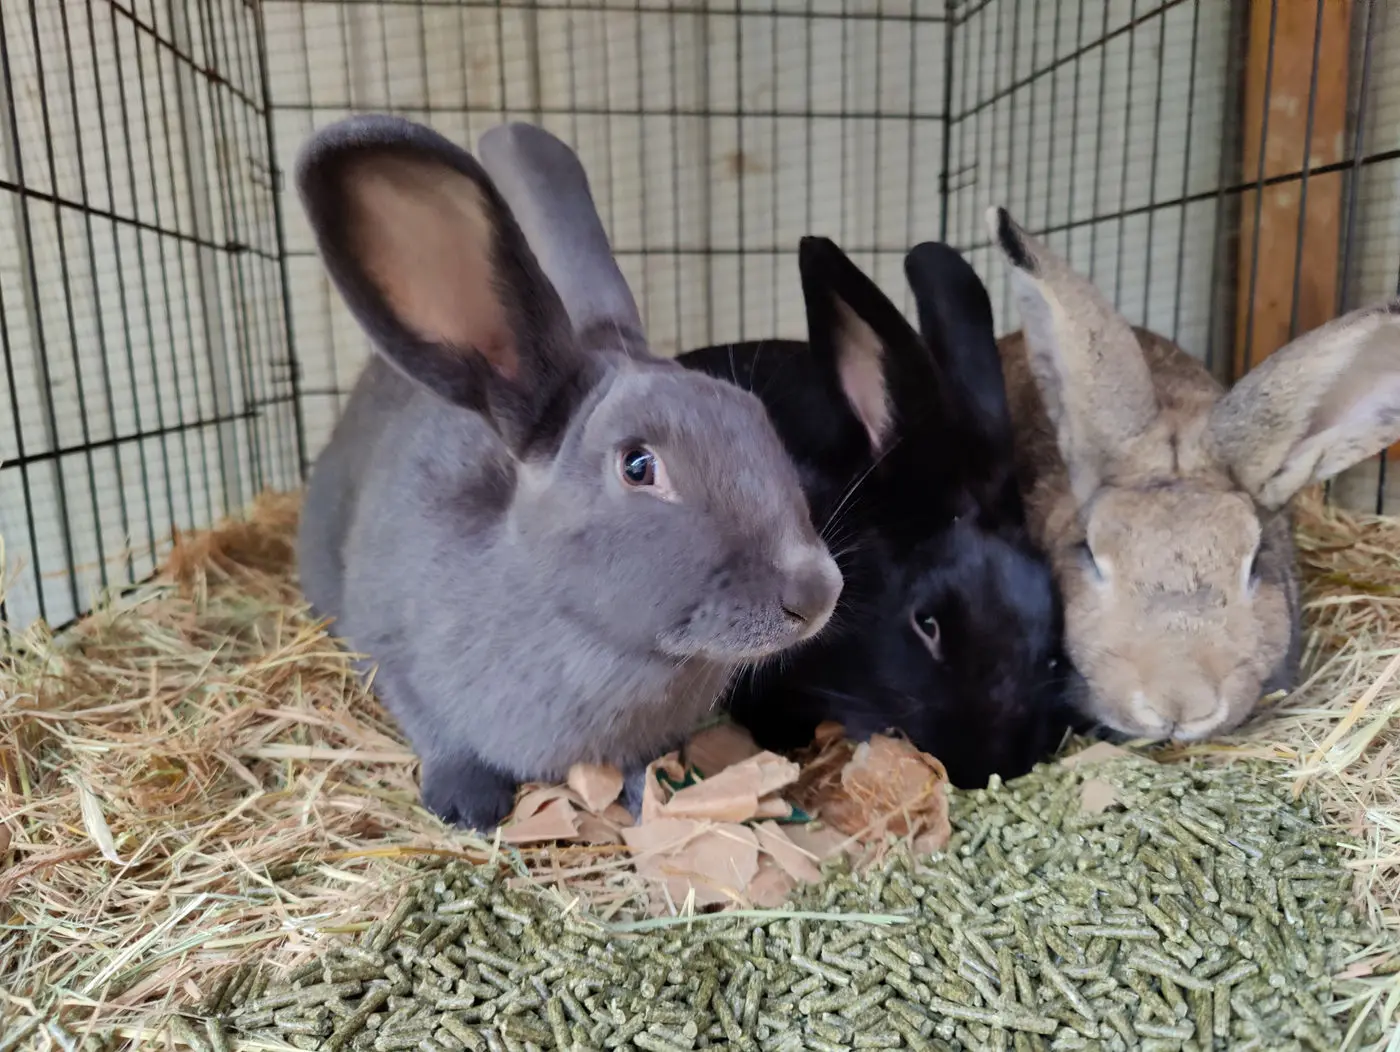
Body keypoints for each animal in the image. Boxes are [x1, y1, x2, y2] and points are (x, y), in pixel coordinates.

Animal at [294, 115, 842, 832]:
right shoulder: (389, 648)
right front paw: (466, 803)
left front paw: (647, 796)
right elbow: (436, 730)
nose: (818, 592)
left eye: (756, 417)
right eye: (638, 465)